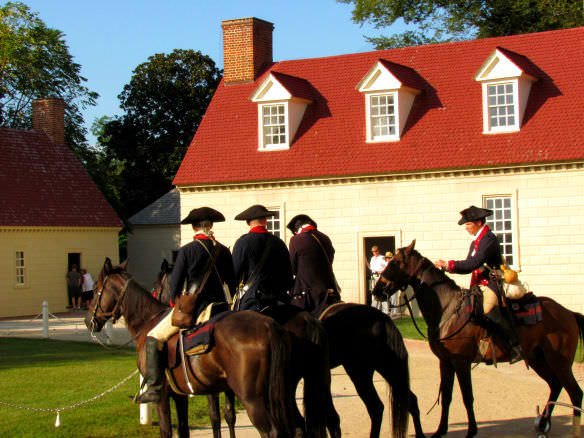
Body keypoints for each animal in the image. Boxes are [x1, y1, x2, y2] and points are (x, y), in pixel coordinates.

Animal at [85, 258, 302, 436]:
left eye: (96, 290)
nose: (88, 321)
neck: (148, 321)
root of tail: (268, 326)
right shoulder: (181, 395)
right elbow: (186, 429)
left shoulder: (163, 396)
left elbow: (170, 430)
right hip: (280, 394)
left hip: (252, 399)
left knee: (272, 431)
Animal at [374, 240, 584, 438]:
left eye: (394, 262)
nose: (377, 290)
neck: (447, 309)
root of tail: (568, 313)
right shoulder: (446, 362)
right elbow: (447, 396)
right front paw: (441, 430)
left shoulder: (461, 362)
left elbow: (467, 396)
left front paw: (471, 431)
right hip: (538, 359)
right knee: (555, 386)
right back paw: (543, 423)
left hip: (560, 363)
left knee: (575, 393)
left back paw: (572, 430)